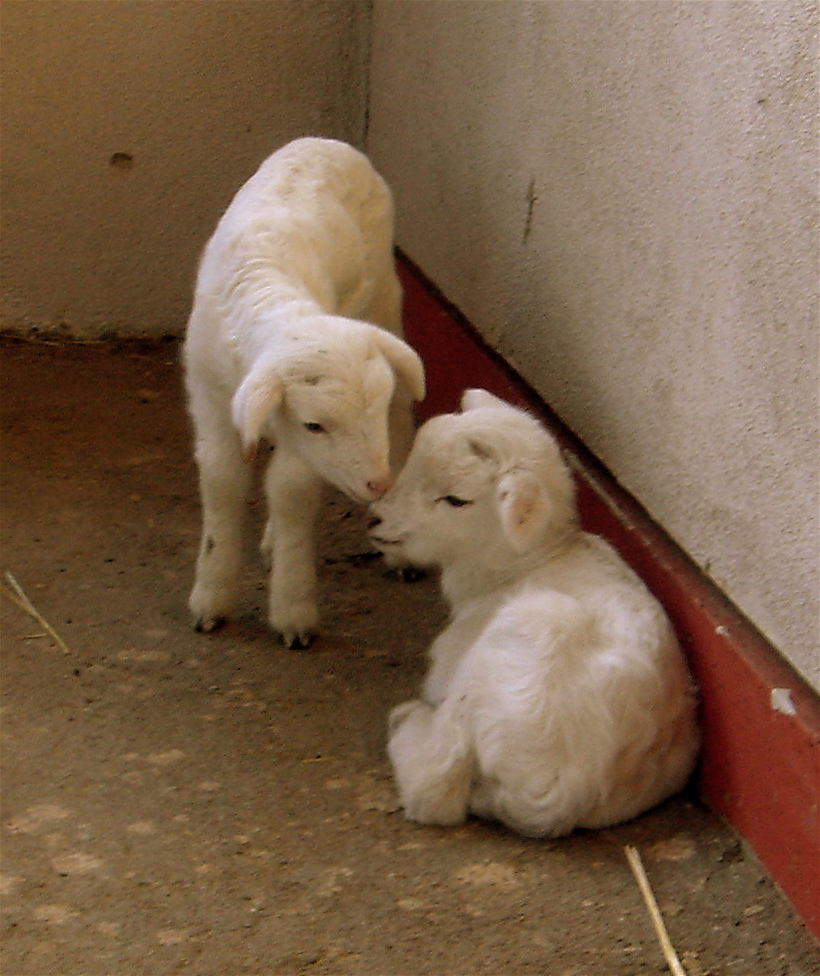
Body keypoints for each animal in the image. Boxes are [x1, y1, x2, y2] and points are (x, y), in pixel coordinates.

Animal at [183, 137, 426, 648]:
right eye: (315, 424)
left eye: (371, 415)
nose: (378, 485)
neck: (269, 294)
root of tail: (327, 142)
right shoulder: (210, 400)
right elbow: (222, 483)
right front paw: (211, 598)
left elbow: (291, 493)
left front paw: (293, 611)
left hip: (383, 293)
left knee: (403, 414)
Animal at [368, 388, 700, 840]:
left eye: (456, 499)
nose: (374, 518)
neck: (527, 564)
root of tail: (553, 799)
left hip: (510, 652)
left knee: (435, 786)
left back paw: (408, 722)